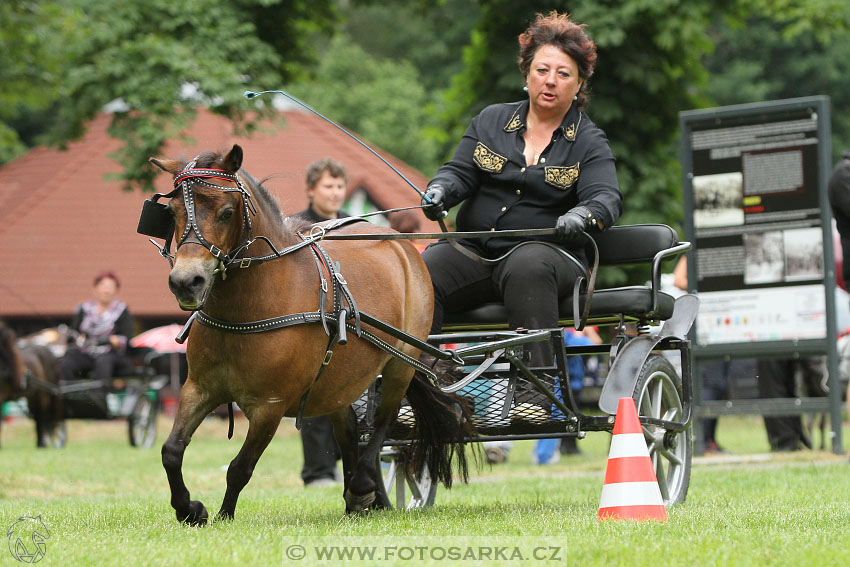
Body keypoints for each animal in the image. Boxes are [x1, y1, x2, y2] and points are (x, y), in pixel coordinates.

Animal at [151, 144, 470, 524]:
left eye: (226, 212)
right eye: (172, 213)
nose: (186, 282)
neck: (246, 308)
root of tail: (401, 245)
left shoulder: (269, 406)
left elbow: (239, 468)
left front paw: (224, 516)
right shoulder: (198, 389)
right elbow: (171, 451)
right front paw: (190, 509)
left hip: (400, 364)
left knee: (384, 421)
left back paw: (363, 485)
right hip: (340, 378)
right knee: (349, 428)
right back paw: (359, 498)